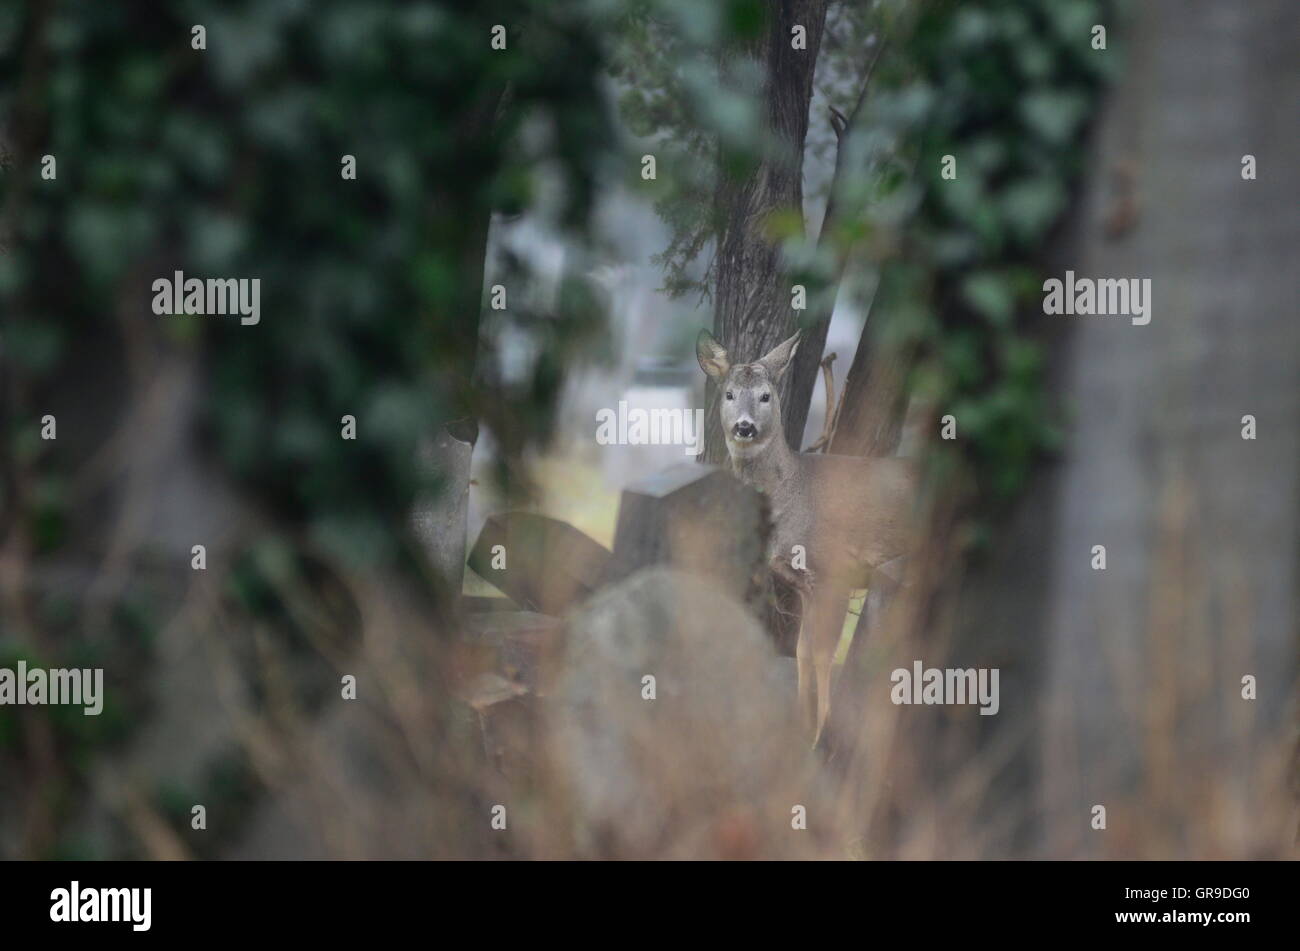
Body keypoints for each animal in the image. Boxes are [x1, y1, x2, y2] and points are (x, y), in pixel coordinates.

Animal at [702, 328, 915, 743]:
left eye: (766, 396)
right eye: (729, 394)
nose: (745, 427)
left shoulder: (836, 568)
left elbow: (822, 654)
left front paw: (822, 733)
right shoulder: (802, 582)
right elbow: (801, 651)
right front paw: (801, 725)